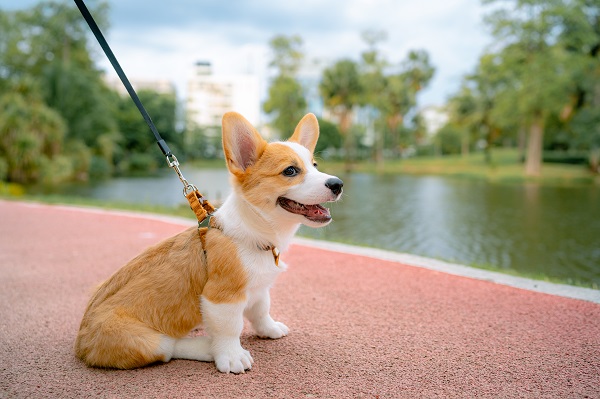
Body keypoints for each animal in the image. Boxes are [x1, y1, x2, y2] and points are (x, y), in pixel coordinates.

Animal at [75, 111, 342, 376]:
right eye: (290, 171)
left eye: (315, 166)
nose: (338, 184)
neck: (252, 233)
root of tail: (81, 344)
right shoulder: (222, 297)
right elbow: (229, 329)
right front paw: (232, 357)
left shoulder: (259, 289)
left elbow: (261, 311)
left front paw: (270, 329)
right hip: (139, 339)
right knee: (169, 346)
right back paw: (205, 346)